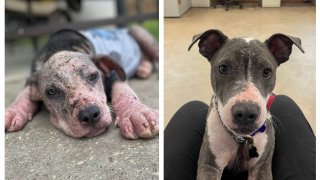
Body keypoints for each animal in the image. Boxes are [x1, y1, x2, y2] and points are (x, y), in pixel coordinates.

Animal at [4, 25, 159, 139]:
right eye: (51, 91)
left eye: (93, 76)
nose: (89, 114)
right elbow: (23, 94)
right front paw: (13, 111)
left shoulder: (114, 76)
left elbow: (123, 92)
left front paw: (136, 113)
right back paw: (143, 68)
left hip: (138, 32)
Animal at [189, 28, 304, 179]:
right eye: (223, 68)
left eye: (267, 71)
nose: (245, 112)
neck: (241, 140)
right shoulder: (209, 165)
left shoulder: (261, 167)